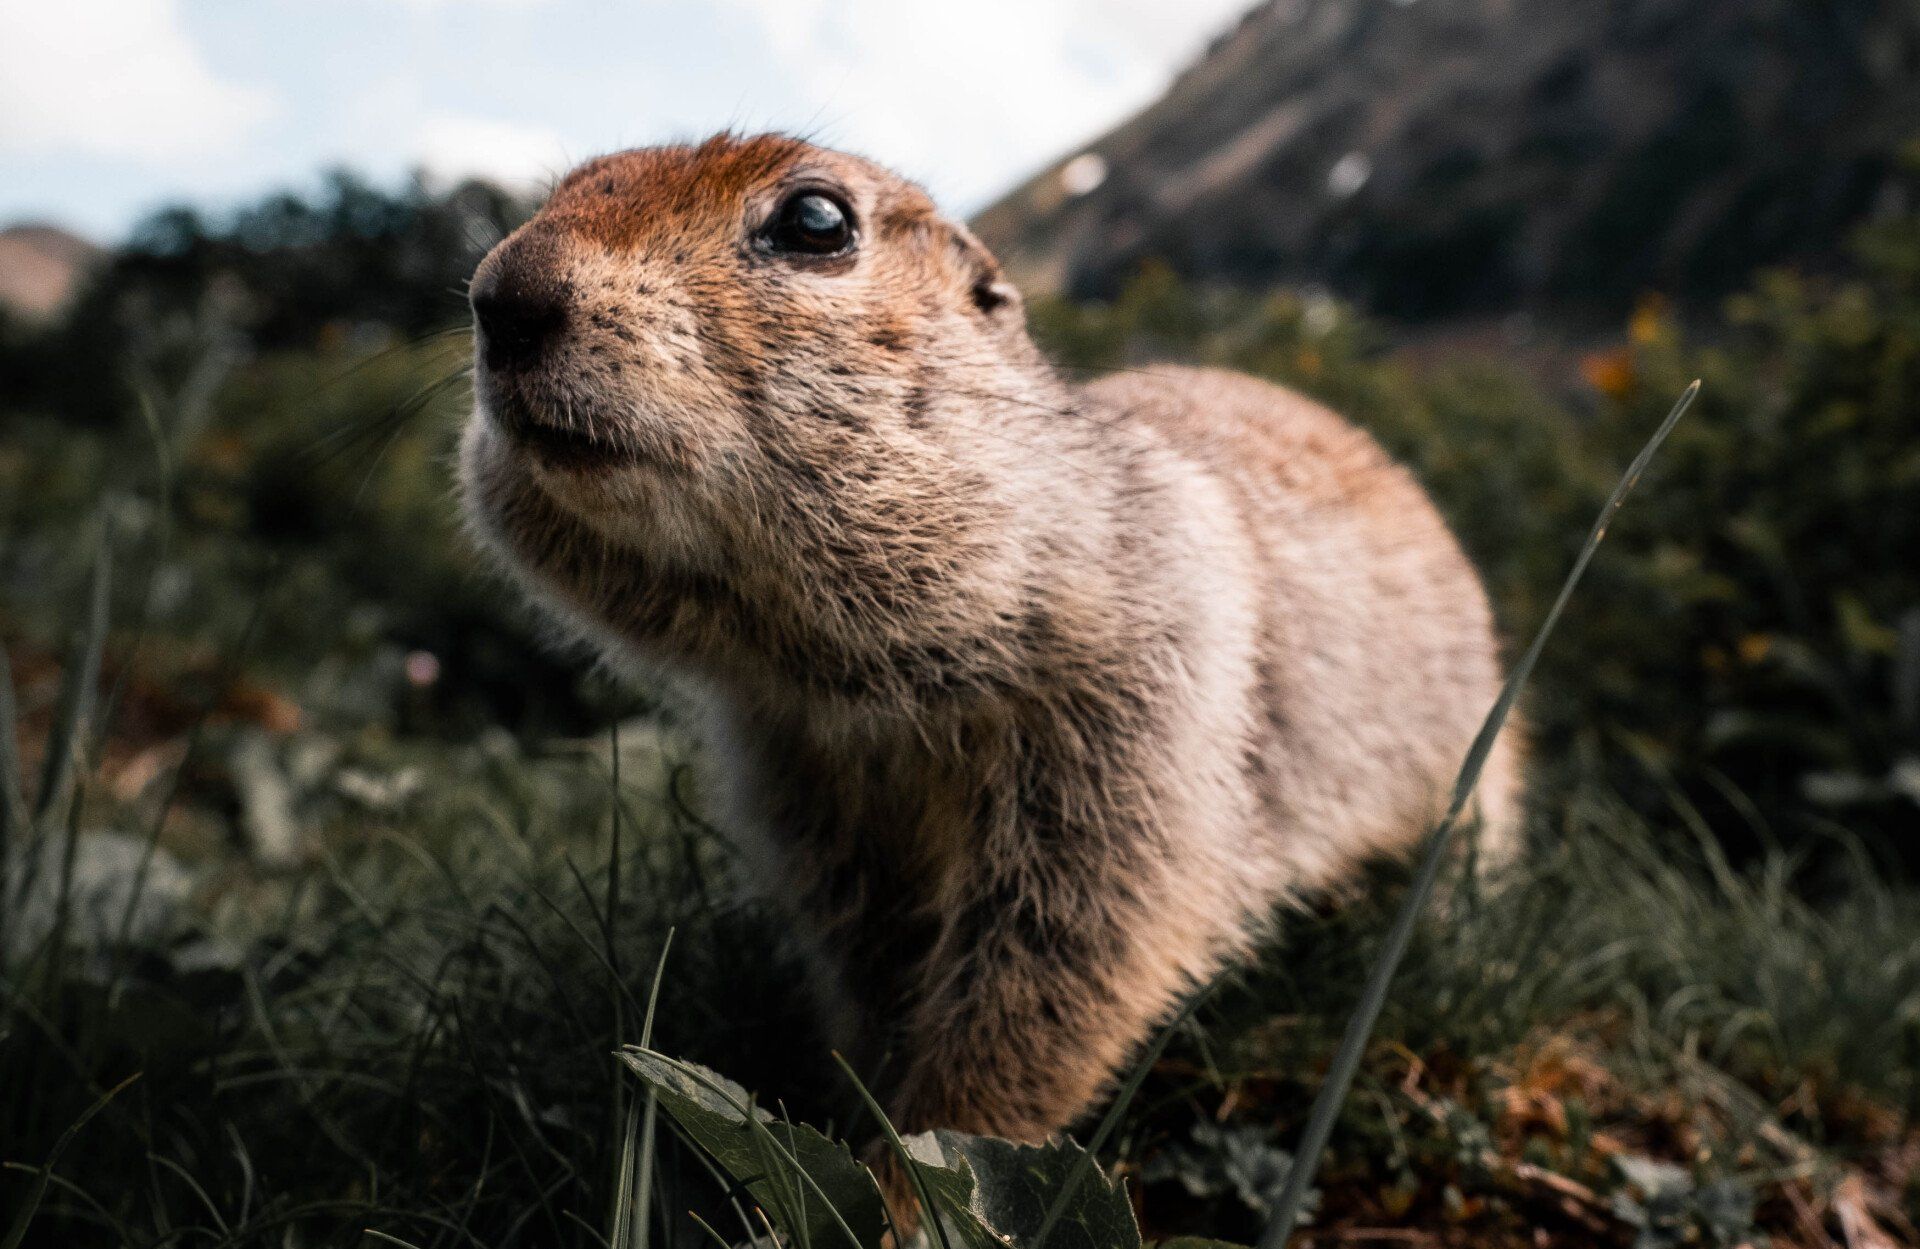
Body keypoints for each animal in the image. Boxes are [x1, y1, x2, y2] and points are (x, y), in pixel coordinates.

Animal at [458, 132, 1522, 1200]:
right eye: (562, 186)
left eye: (816, 221)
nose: (501, 293)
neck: (854, 677)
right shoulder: (802, 779)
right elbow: (872, 964)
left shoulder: (1125, 717)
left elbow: (1064, 956)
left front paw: (907, 1184)